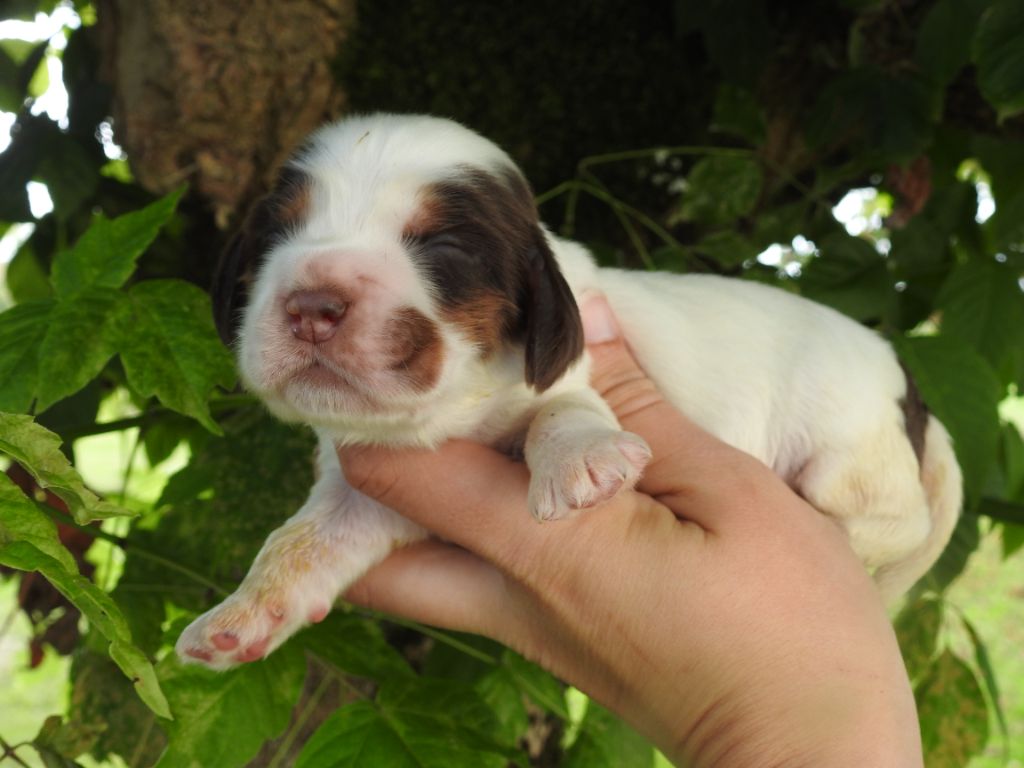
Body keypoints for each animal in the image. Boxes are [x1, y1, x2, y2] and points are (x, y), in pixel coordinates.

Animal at [178, 111, 958, 671]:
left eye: (445, 249)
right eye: (276, 233)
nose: (312, 306)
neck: (450, 414)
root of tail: (916, 396)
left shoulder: (571, 377)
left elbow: (564, 409)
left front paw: (582, 462)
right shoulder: (364, 490)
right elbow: (301, 540)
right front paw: (239, 614)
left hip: (850, 453)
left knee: (895, 517)